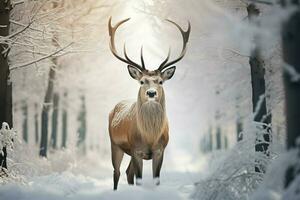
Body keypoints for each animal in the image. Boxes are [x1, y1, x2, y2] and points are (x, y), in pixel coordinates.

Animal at [109, 16, 191, 190]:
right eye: (142, 81)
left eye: (160, 81)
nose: (151, 93)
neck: (149, 138)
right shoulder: (136, 149)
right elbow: (139, 179)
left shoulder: (160, 150)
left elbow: (156, 179)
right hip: (115, 144)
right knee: (117, 172)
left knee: (128, 172)